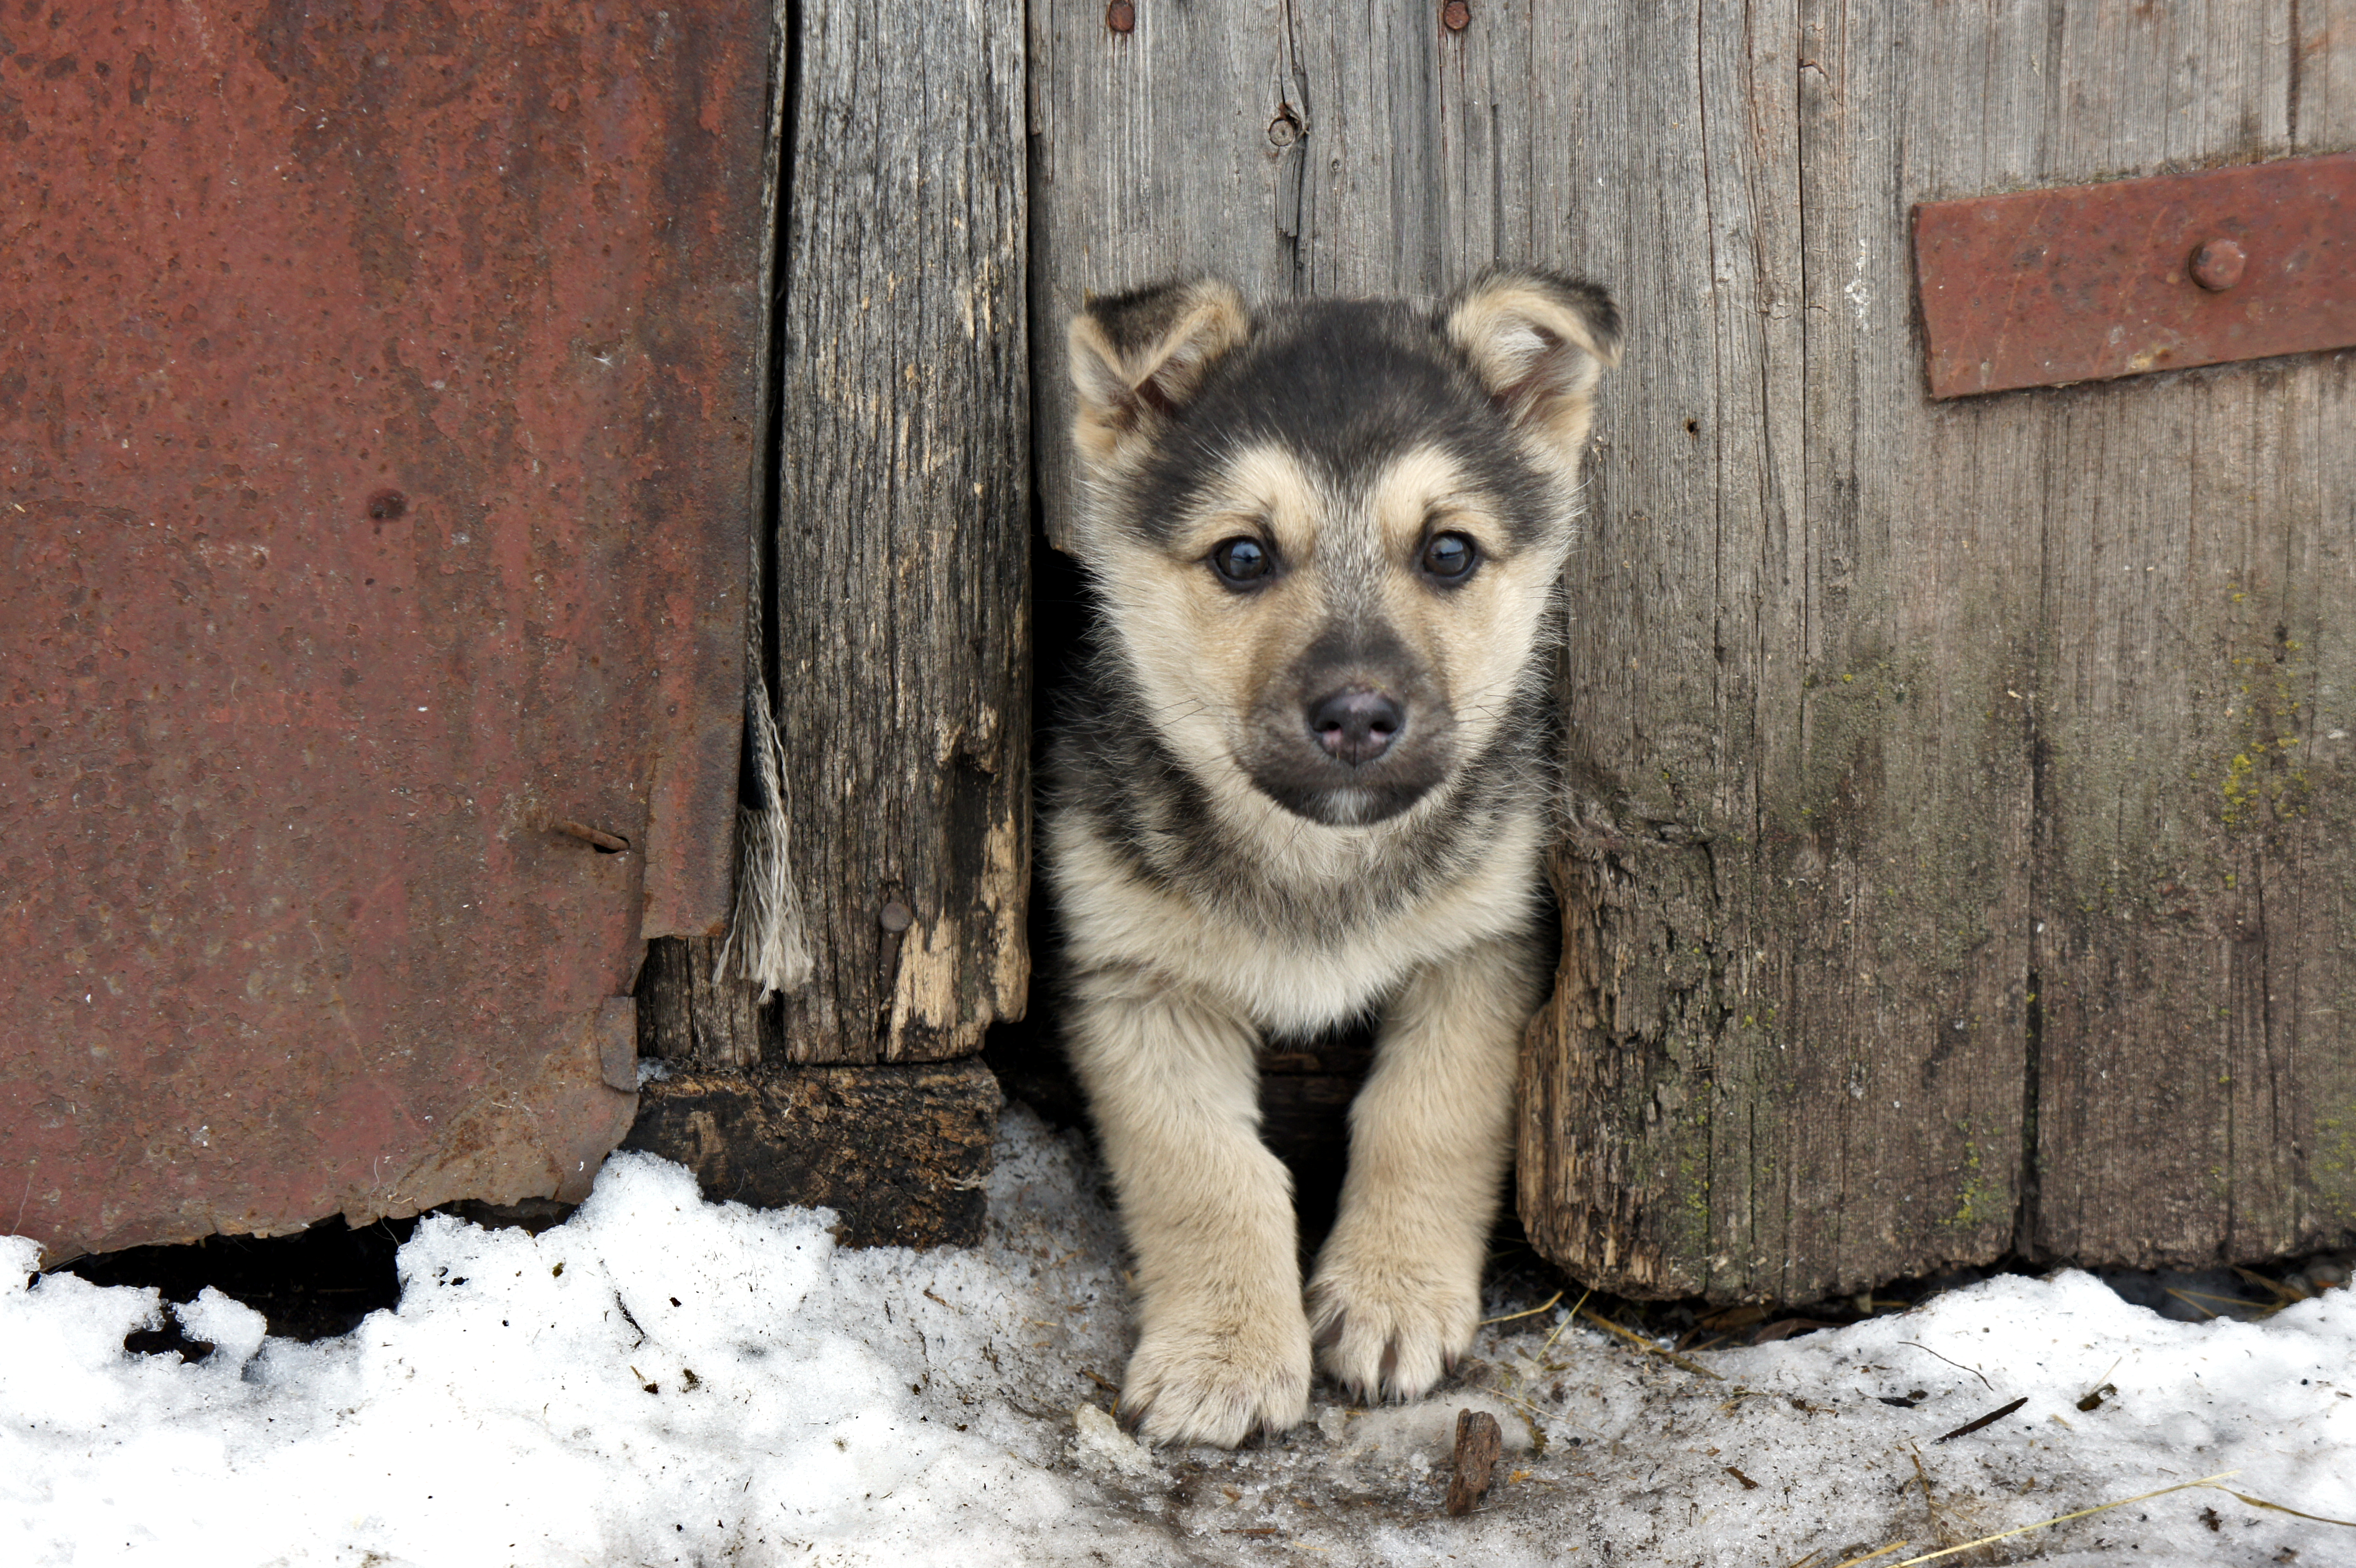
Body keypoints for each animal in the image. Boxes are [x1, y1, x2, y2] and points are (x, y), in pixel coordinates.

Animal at [1051, 266, 1621, 1441]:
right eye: (1243, 556)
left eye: (1448, 551)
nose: (1358, 715)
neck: (1319, 857)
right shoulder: (1136, 980)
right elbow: (1204, 1168)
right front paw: (1221, 1355)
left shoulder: (1482, 950)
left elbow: (1425, 1116)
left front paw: (1393, 1295)